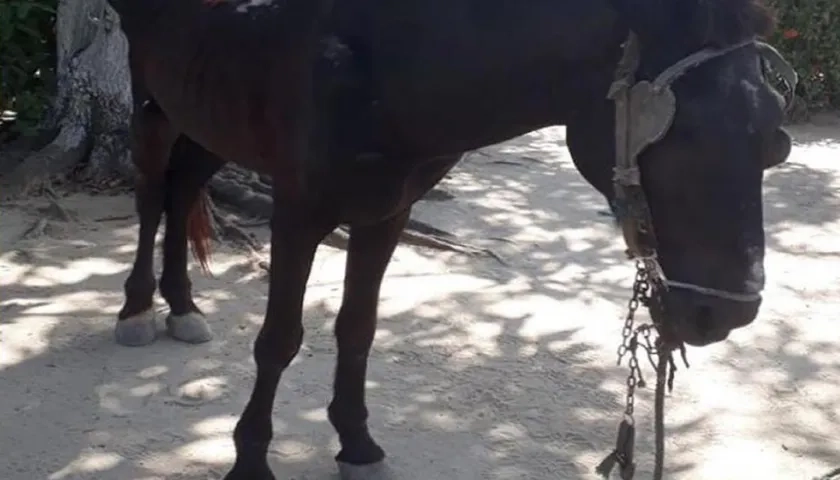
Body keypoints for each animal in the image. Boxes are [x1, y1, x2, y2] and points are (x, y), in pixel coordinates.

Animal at [105, 0, 795, 478]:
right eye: (685, 136)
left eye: (773, 139)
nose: (726, 313)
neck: (381, 60)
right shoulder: (297, 213)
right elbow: (279, 340)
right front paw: (250, 457)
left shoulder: (387, 213)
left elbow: (358, 328)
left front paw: (356, 443)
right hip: (152, 102)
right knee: (152, 194)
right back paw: (137, 309)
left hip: (209, 116)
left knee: (181, 190)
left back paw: (183, 305)